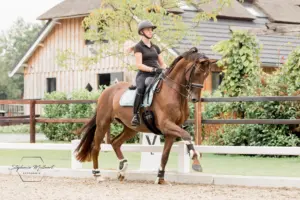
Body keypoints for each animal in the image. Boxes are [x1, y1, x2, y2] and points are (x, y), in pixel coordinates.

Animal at [74, 46, 216, 184]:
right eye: (197, 73)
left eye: (206, 75)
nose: (195, 99)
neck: (173, 92)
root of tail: (106, 91)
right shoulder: (166, 125)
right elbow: (186, 135)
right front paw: (196, 163)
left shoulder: (171, 130)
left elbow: (165, 155)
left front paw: (160, 178)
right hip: (103, 123)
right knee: (96, 147)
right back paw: (98, 175)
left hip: (131, 128)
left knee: (115, 143)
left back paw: (122, 169)